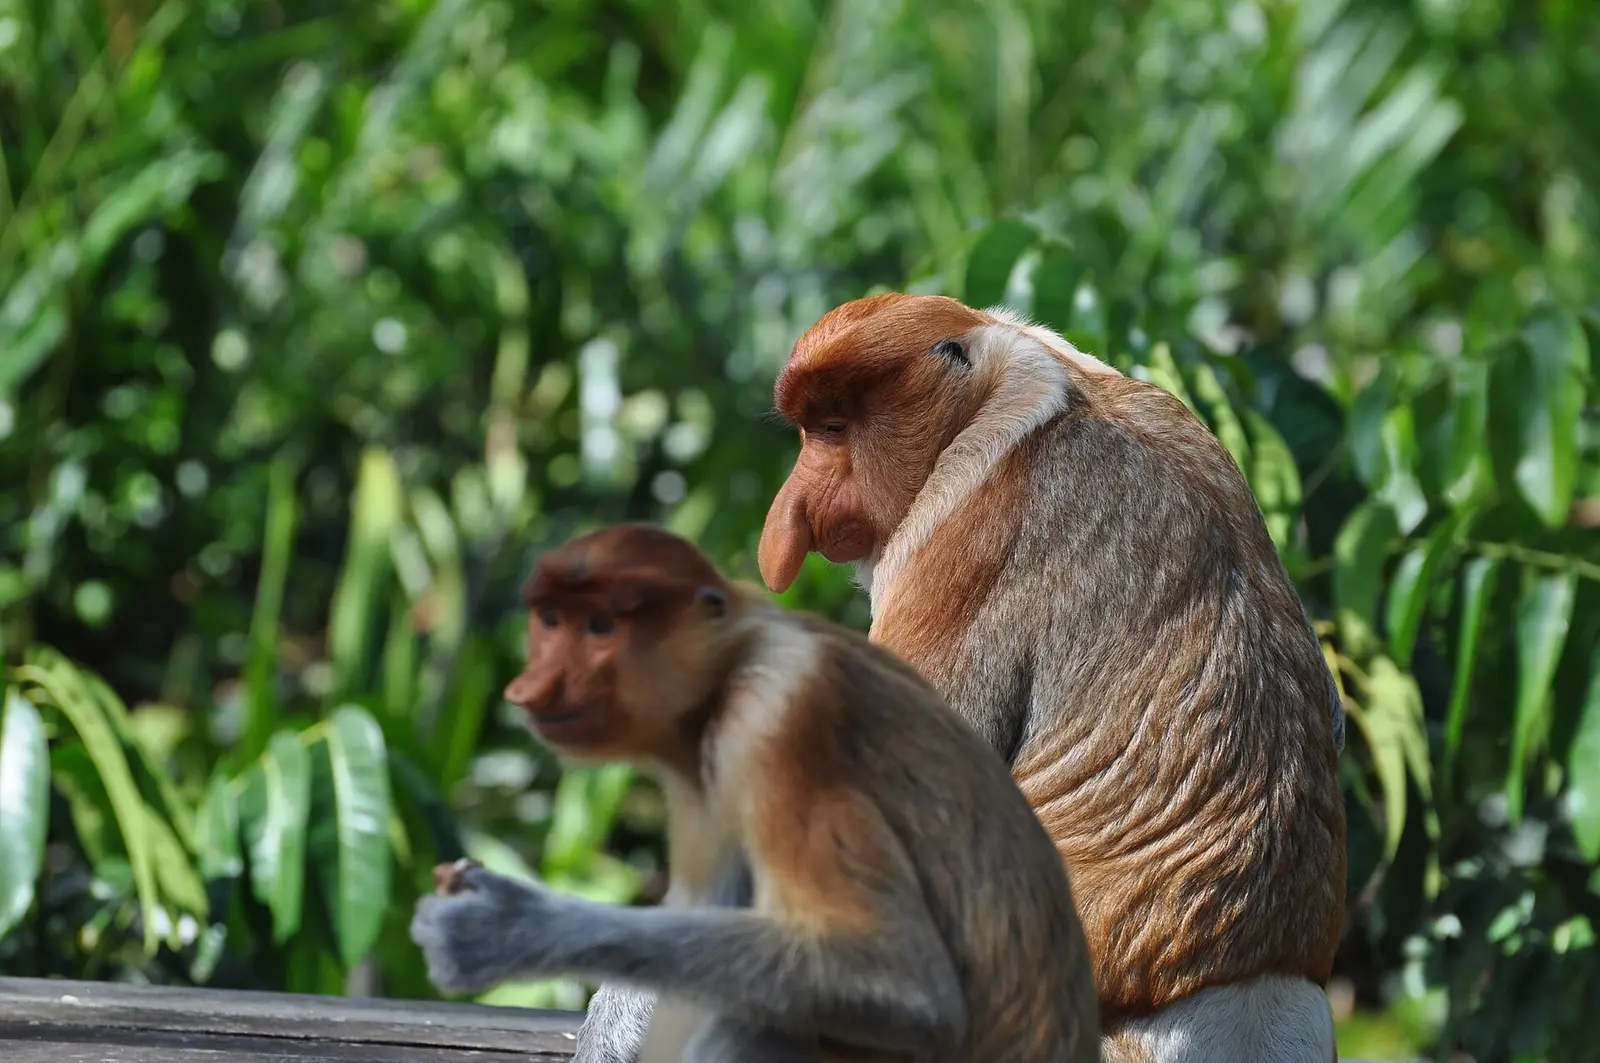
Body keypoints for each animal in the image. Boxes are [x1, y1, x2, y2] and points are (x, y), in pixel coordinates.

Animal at [409, 522, 1101, 1063]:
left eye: (599, 628)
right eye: (550, 623)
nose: (533, 687)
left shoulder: (774, 729)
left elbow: (900, 978)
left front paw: (498, 927)